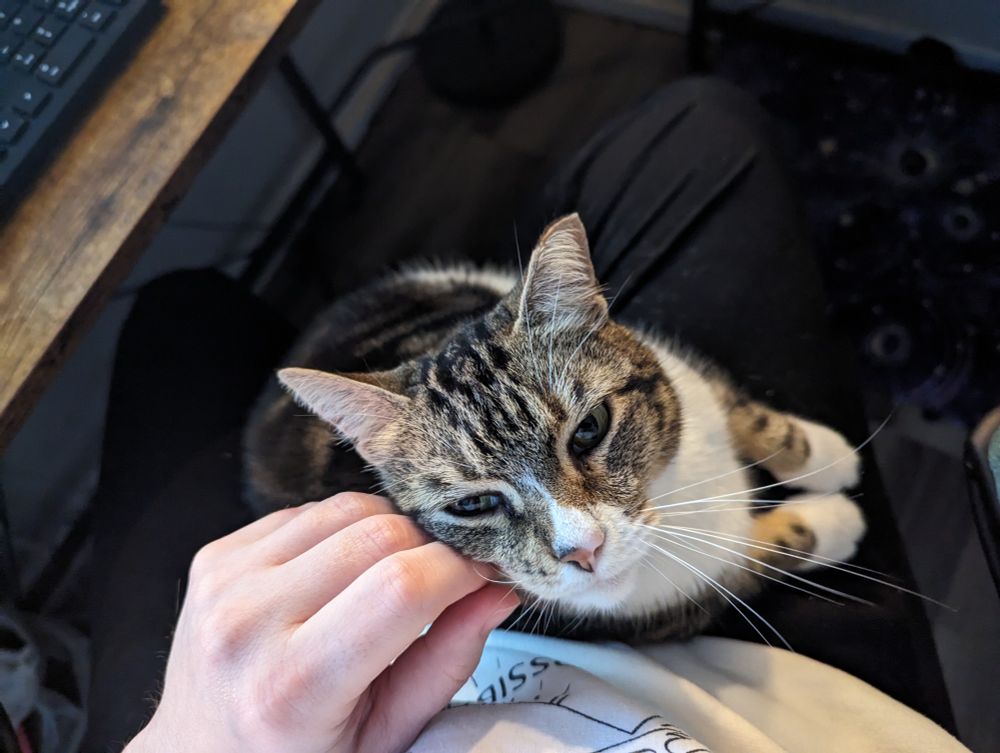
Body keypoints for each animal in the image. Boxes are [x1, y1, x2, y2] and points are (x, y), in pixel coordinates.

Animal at [243, 213, 865, 642]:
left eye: (590, 428)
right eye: (473, 505)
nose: (582, 552)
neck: (674, 492)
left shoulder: (686, 376)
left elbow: (745, 412)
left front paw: (830, 455)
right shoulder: (679, 606)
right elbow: (763, 552)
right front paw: (838, 519)